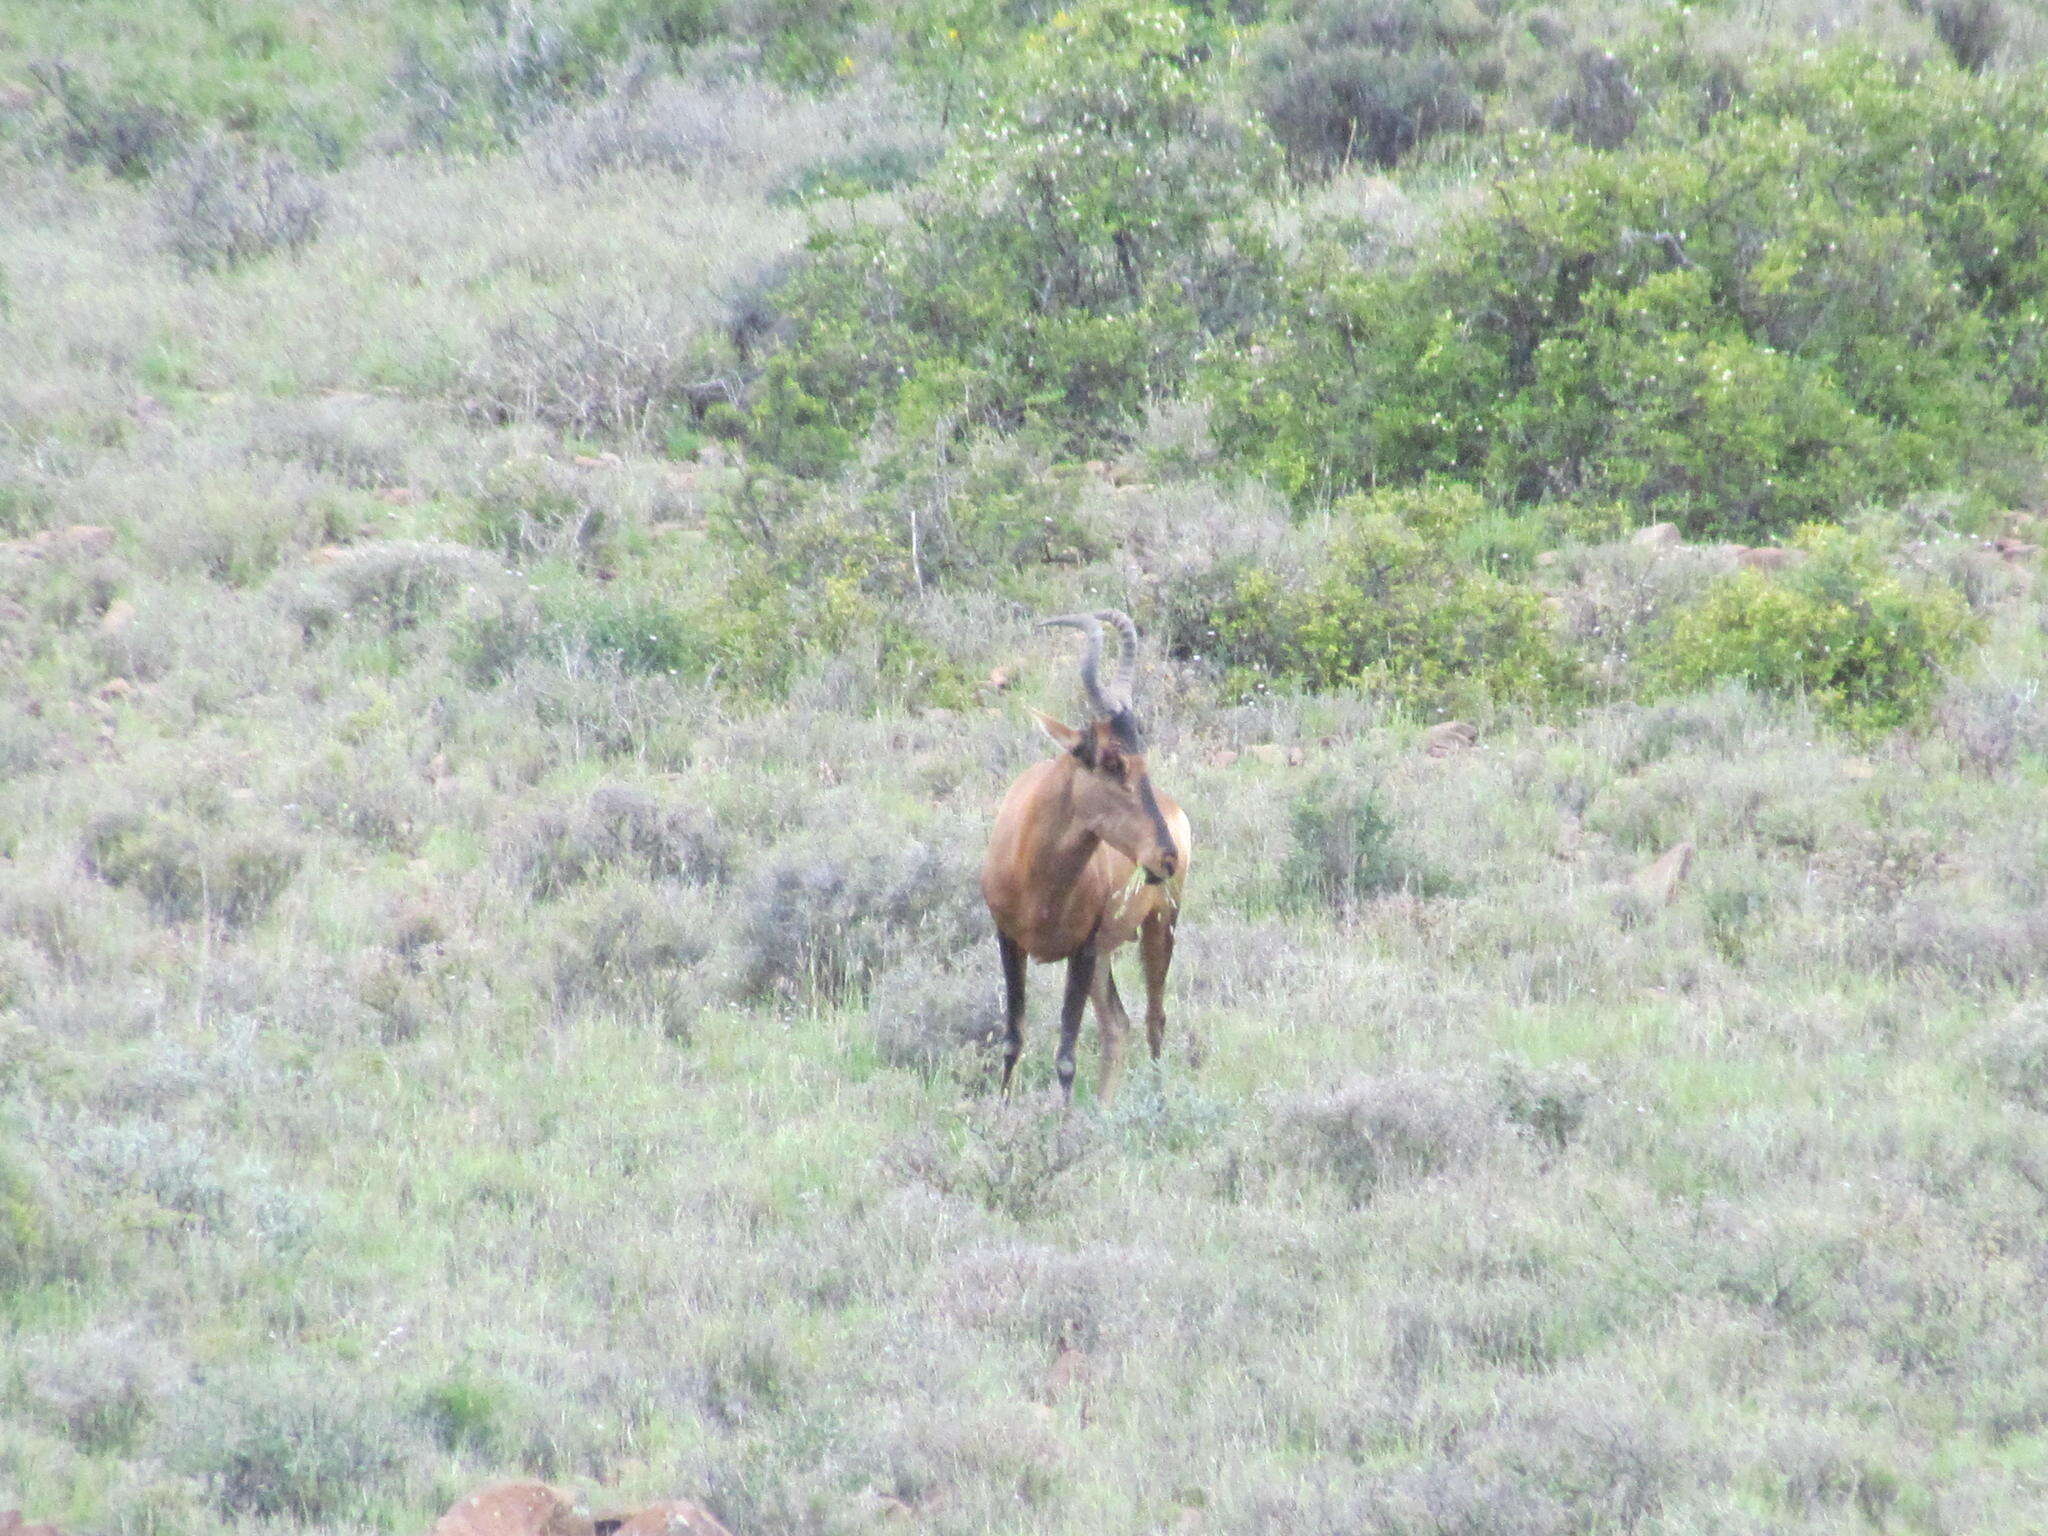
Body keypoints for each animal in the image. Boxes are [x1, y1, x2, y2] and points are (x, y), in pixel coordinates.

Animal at [983, 614, 1196, 1105]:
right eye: (1112, 760)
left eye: (1142, 754)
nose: (1166, 857)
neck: (1037, 876)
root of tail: (1175, 810)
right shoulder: (1008, 940)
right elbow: (1013, 1038)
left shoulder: (1080, 950)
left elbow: (1065, 1053)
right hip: (1104, 953)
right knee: (1117, 1025)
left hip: (1159, 926)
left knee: (1154, 1019)